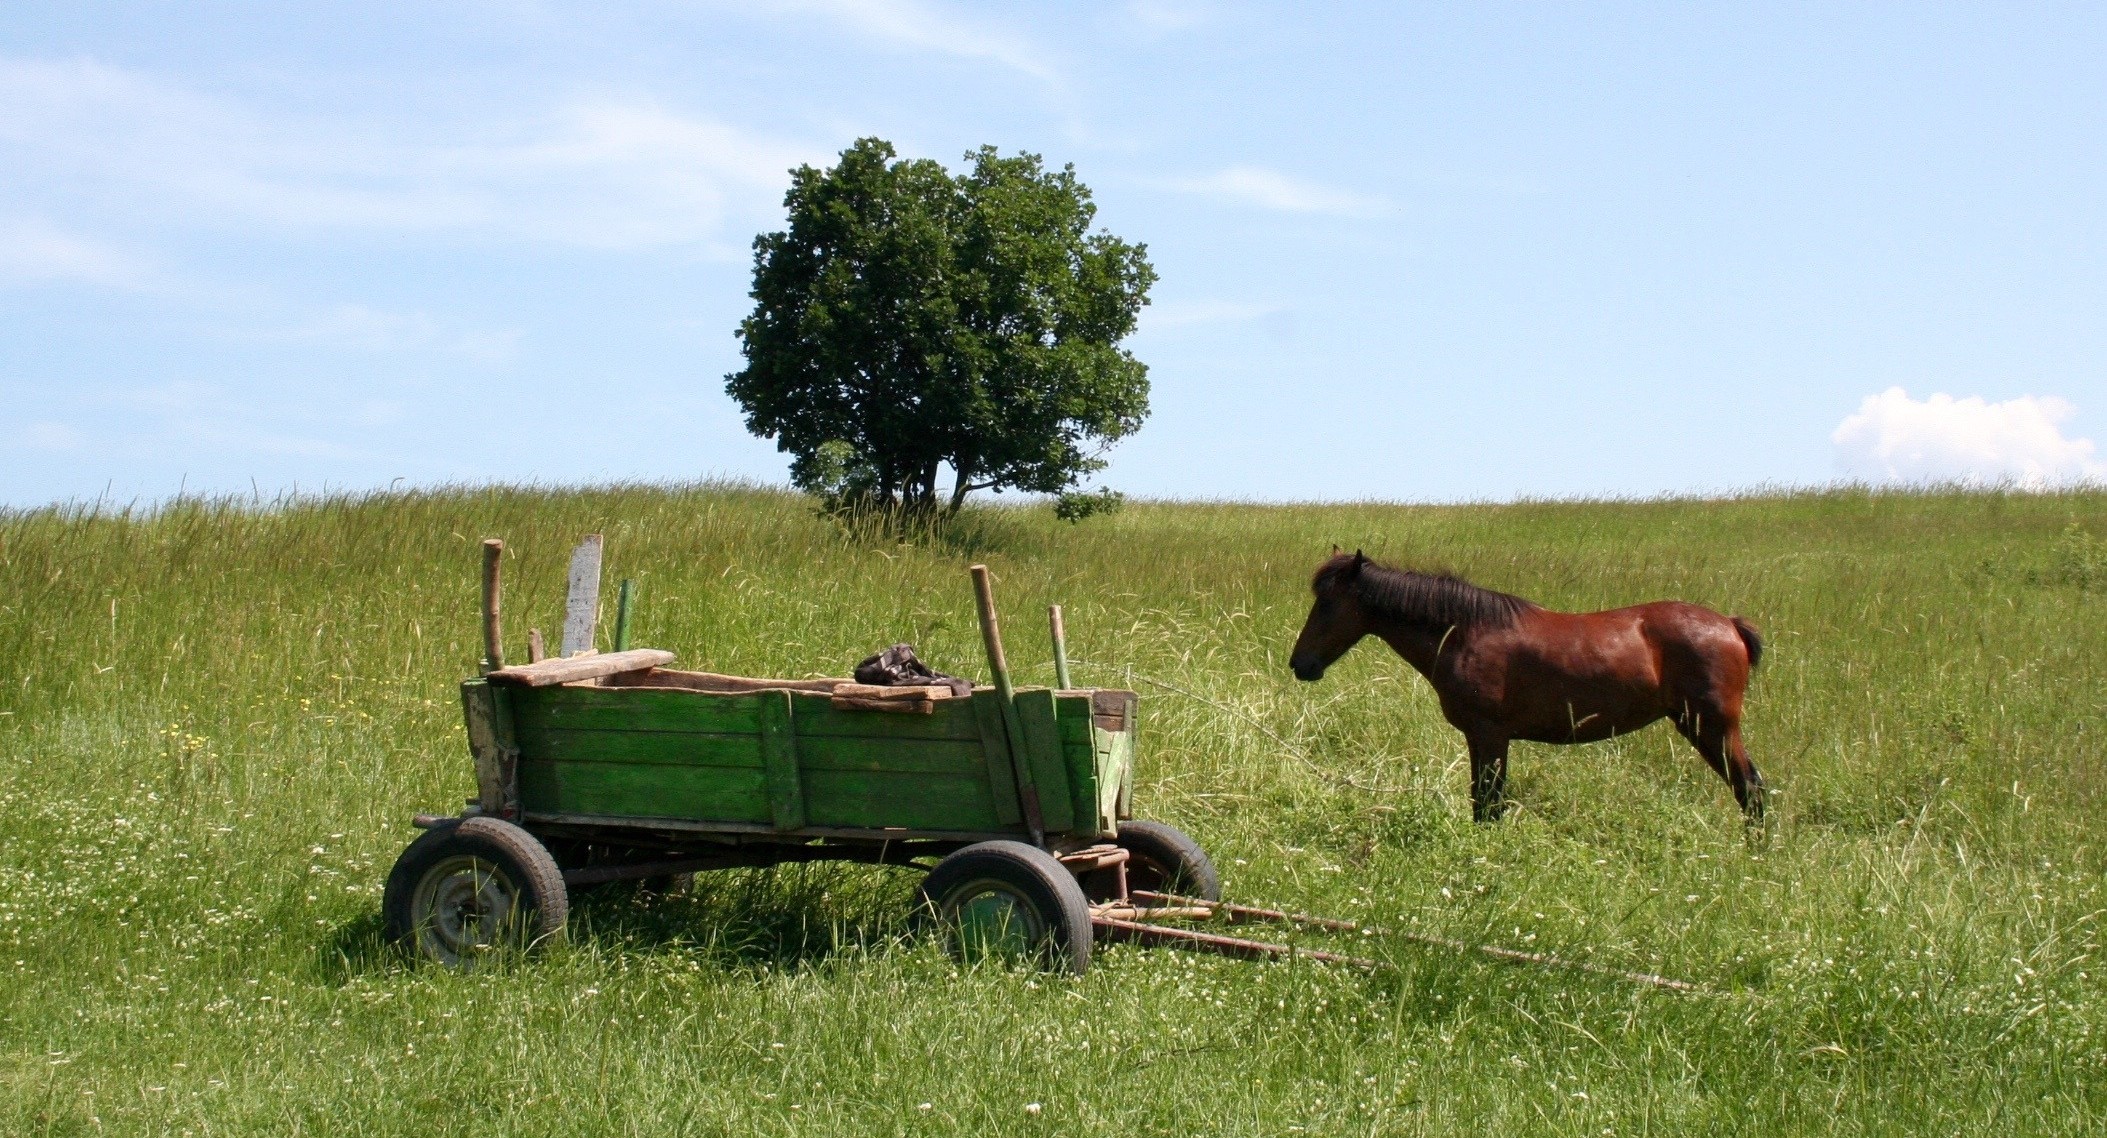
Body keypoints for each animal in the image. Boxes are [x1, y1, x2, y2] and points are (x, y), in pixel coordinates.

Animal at [1289, 547, 1769, 821]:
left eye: (1327, 604)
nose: (1300, 664)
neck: (1466, 632)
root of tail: (1730, 624)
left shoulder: (1491, 735)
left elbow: (1489, 804)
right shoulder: (1480, 739)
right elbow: (1481, 801)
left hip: (1713, 728)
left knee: (1751, 790)